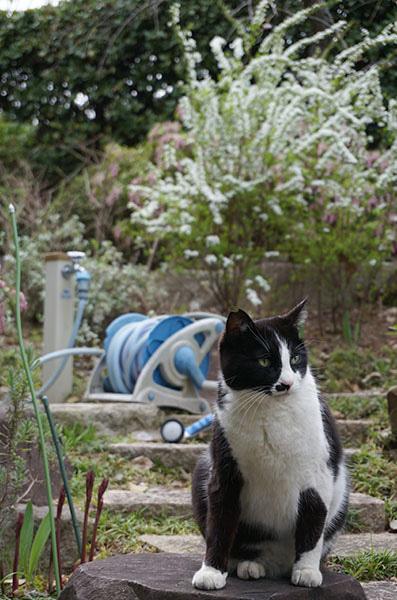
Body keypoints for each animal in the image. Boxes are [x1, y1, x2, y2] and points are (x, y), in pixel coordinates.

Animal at [190, 300, 348, 592]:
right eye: (264, 360)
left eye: (295, 359)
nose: (287, 384)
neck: (271, 412)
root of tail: (275, 567)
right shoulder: (224, 471)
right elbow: (219, 524)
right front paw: (211, 572)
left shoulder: (317, 476)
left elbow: (313, 522)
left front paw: (306, 571)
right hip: (202, 470)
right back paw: (250, 565)